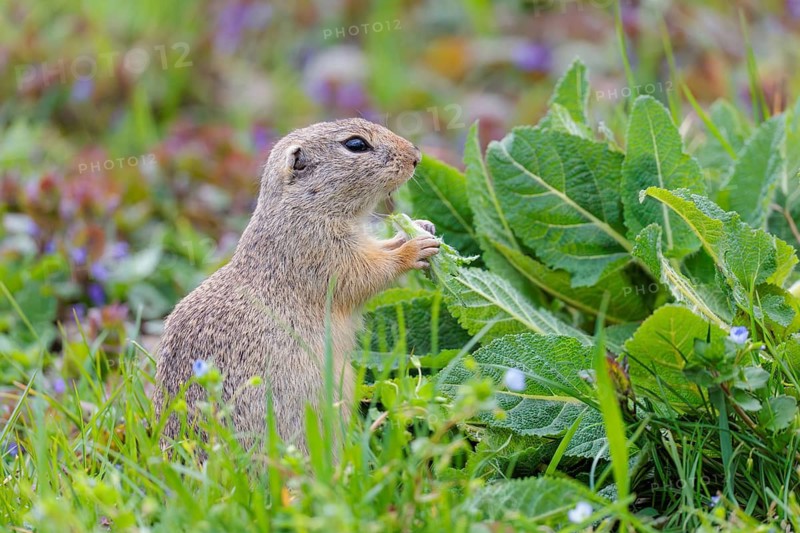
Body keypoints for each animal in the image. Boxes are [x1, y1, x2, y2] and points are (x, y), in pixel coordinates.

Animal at [153, 118, 439, 454]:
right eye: (356, 144)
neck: (301, 207)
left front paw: (419, 227)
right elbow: (366, 272)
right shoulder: (321, 252)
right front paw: (416, 248)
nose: (416, 156)